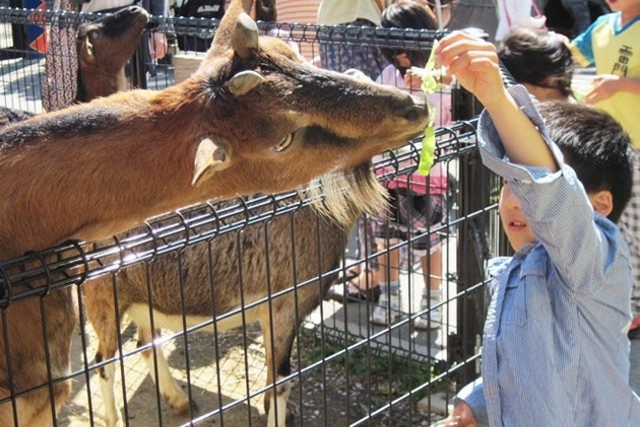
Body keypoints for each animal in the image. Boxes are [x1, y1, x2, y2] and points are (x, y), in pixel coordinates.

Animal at [0, 0, 430, 426]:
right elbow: (280, 382)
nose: (415, 107)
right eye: (284, 139)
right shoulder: (285, 303)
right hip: (103, 296)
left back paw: (179, 399)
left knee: (144, 342)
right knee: (105, 361)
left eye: (292, 55)